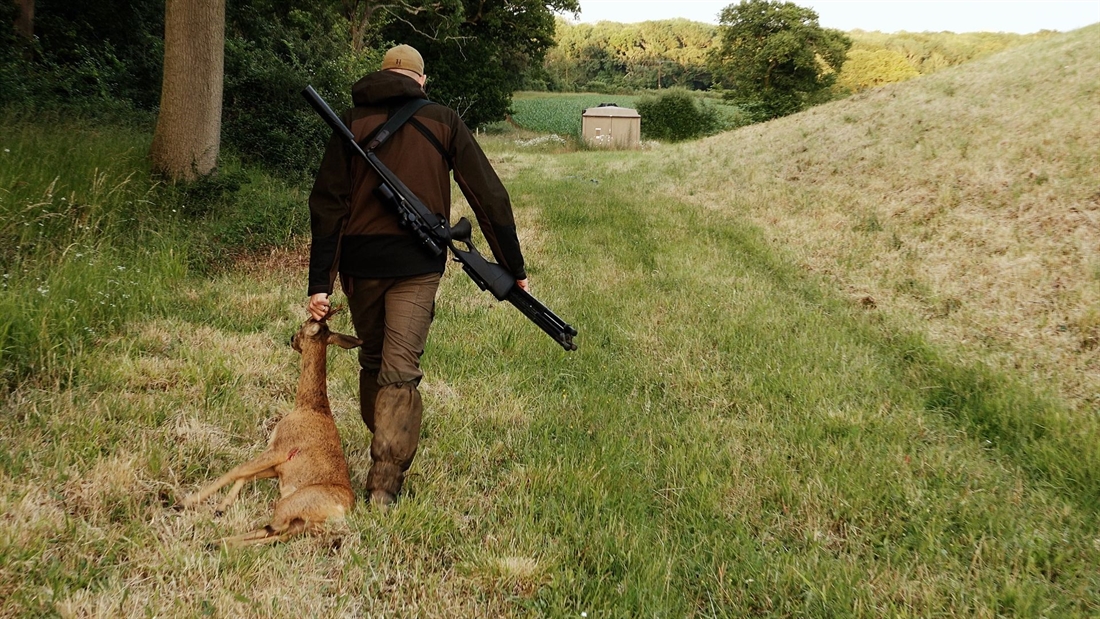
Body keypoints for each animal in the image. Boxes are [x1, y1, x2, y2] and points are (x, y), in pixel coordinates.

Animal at [178, 307, 363, 547]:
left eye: (303, 325)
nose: (292, 339)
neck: (310, 407)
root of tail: (344, 511)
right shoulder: (279, 465)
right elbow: (248, 474)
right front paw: (221, 506)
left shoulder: (281, 447)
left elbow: (238, 469)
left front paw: (188, 501)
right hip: (304, 520)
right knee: (278, 534)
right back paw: (219, 542)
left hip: (291, 504)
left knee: (273, 528)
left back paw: (217, 541)